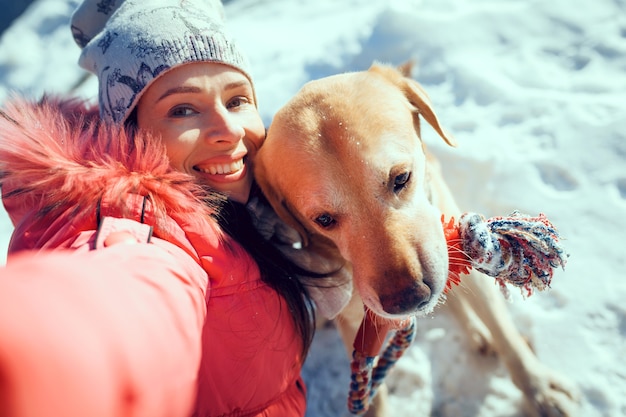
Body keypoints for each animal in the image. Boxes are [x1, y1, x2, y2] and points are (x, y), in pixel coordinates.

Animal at [252, 62, 576, 416]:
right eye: (323, 219)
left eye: (401, 178)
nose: (407, 299)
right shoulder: (354, 320)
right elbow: (372, 396)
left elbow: (506, 334)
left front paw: (540, 391)